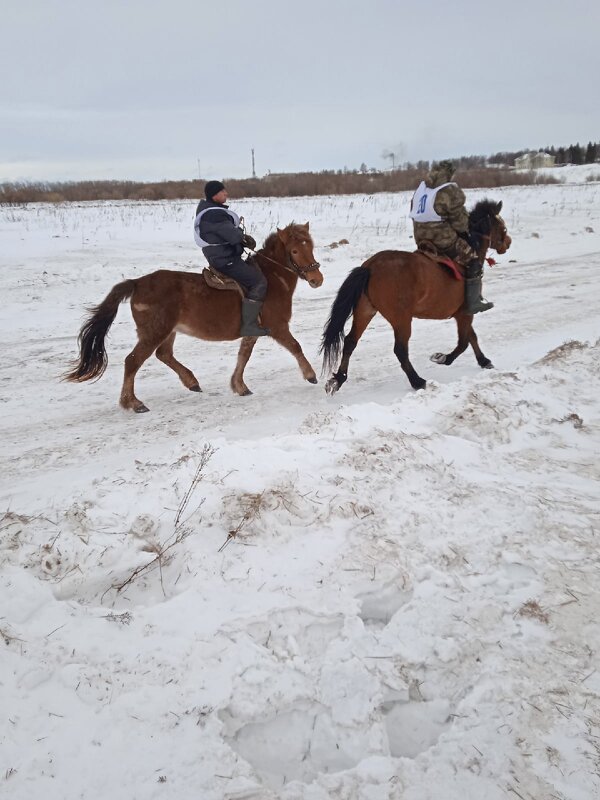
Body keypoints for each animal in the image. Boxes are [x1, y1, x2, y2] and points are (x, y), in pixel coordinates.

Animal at [64, 223, 324, 412]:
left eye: (310, 247)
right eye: (294, 251)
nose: (317, 279)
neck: (271, 279)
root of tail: (138, 283)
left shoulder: (252, 332)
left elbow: (243, 356)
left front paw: (239, 386)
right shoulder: (277, 326)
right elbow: (295, 346)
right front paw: (310, 375)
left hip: (167, 332)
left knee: (164, 355)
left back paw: (191, 381)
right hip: (155, 332)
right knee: (133, 361)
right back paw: (133, 403)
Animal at [322, 200, 512, 394]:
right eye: (502, 227)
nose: (508, 242)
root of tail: (370, 267)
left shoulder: (463, 313)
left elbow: (471, 336)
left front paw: (483, 360)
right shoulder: (464, 313)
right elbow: (464, 341)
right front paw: (443, 358)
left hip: (365, 310)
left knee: (350, 341)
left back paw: (339, 378)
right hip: (401, 319)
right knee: (400, 350)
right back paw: (417, 381)